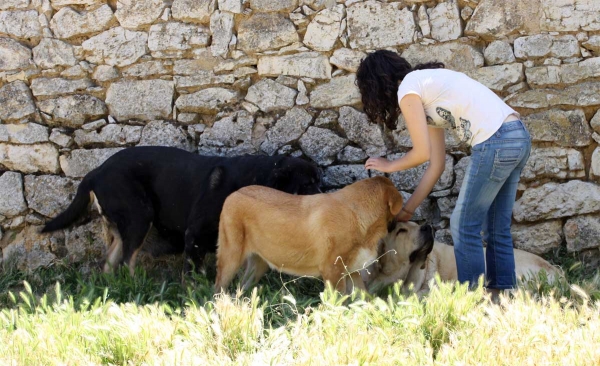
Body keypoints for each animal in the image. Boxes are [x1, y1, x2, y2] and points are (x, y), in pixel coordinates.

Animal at [41, 146, 322, 274]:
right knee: (126, 260)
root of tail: (96, 171)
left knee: (111, 260)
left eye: (318, 181)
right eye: (307, 185)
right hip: (140, 216)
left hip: (126, 224)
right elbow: (194, 270)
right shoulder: (194, 235)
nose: (326, 195)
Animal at [214, 176, 404, 294]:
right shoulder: (333, 272)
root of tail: (233, 194)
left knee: (241, 288)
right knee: (218, 289)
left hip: (258, 265)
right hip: (231, 259)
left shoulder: (353, 272)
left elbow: (365, 301)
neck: (356, 213)